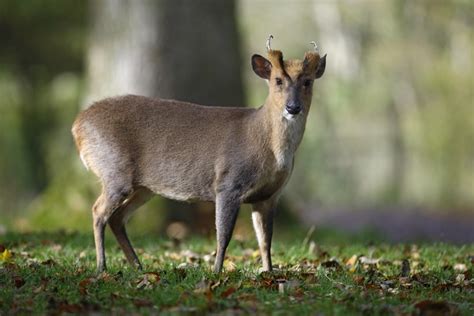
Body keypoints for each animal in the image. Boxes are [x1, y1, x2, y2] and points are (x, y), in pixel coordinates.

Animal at [73, 37, 326, 272]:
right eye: (277, 80)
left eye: (308, 81)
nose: (293, 107)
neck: (268, 147)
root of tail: (78, 125)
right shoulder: (228, 183)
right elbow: (223, 235)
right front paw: (217, 271)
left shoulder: (269, 195)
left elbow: (265, 241)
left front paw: (269, 273)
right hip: (114, 171)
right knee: (98, 211)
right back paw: (102, 267)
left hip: (144, 188)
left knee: (117, 217)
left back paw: (137, 266)